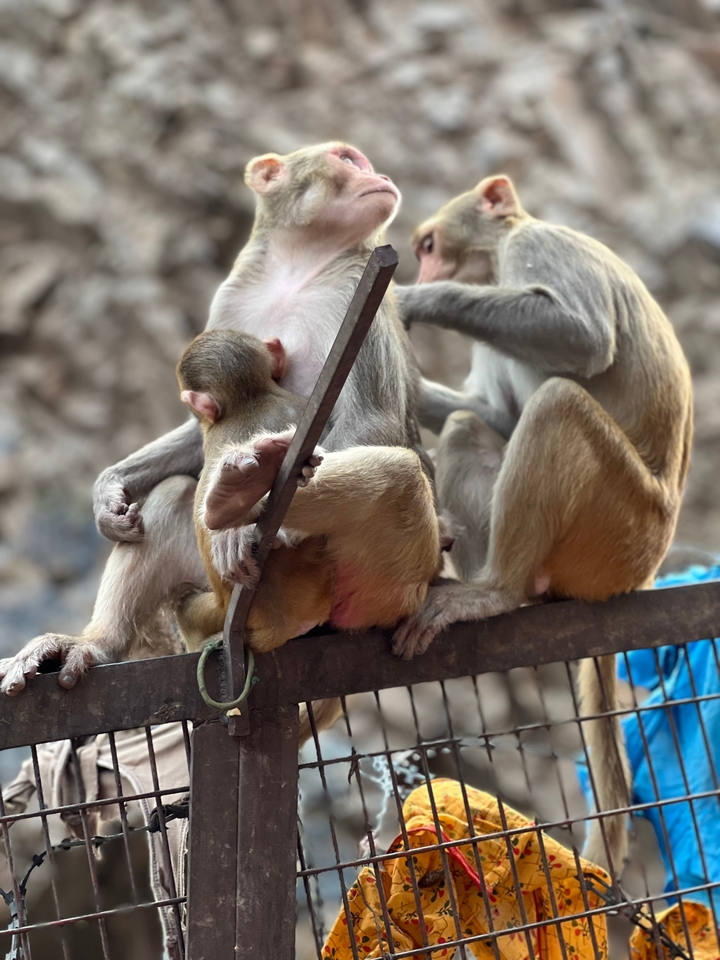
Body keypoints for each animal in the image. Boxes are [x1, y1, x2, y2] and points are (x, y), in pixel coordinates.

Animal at [0, 142, 422, 699]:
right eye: (348, 159)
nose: (383, 178)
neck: (300, 266)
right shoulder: (234, 296)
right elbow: (197, 430)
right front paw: (108, 492)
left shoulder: (358, 288)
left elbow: (372, 420)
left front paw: (251, 517)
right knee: (174, 496)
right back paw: (96, 644)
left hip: (367, 580)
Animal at [391, 175, 693, 875]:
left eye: (428, 247)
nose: (424, 268)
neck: (499, 255)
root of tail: (641, 574)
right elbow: (492, 413)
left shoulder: (538, 247)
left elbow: (581, 338)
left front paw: (415, 299)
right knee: (471, 426)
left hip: (619, 526)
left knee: (557, 403)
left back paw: (495, 591)